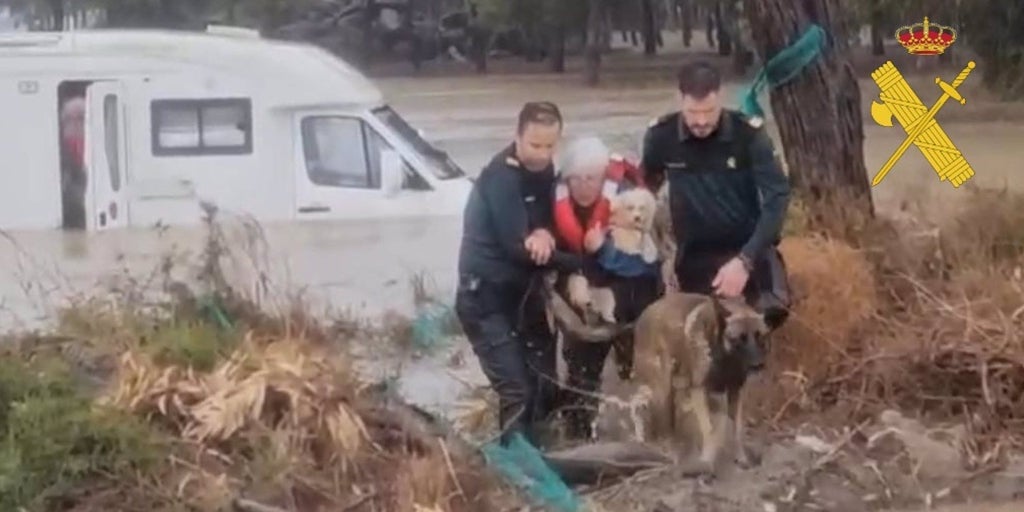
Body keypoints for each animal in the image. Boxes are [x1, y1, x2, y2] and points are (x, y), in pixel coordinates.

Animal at [630, 292, 770, 475]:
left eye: (761, 337)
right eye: (738, 339)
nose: (758, 365)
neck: (724, 357)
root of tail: (643, 316)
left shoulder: (735, 391)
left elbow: (737, 429)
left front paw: (741, 458)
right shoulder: (699, 391)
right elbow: (708, 430)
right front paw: (706, 462)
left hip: (673, 387)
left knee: (645, 405)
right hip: (662, 388)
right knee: (644, 406)